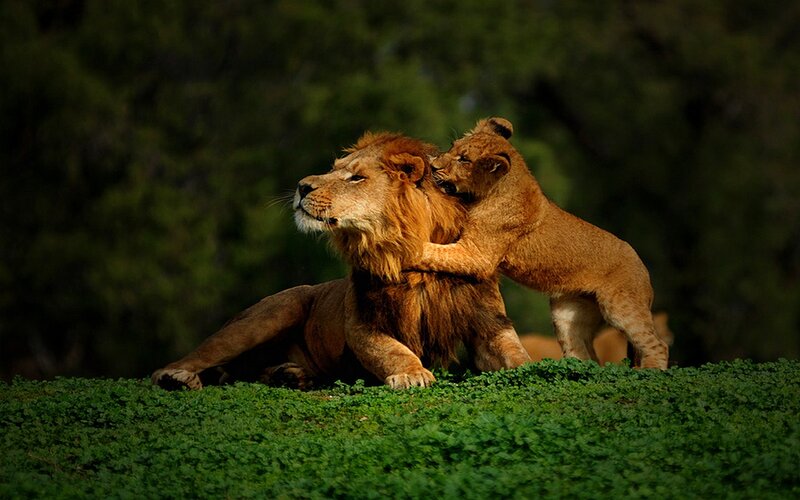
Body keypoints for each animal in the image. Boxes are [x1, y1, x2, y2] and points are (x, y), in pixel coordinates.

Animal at [152, 131, 530, 390]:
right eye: (332, 170)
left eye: (356, 177)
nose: (301, 186)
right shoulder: (362, 324)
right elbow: (392, 350)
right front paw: (412, 374)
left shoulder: (489, 322)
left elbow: (515, 353)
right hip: (268, 314)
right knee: (194, 358)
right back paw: (177, 377)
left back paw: (289, 374)